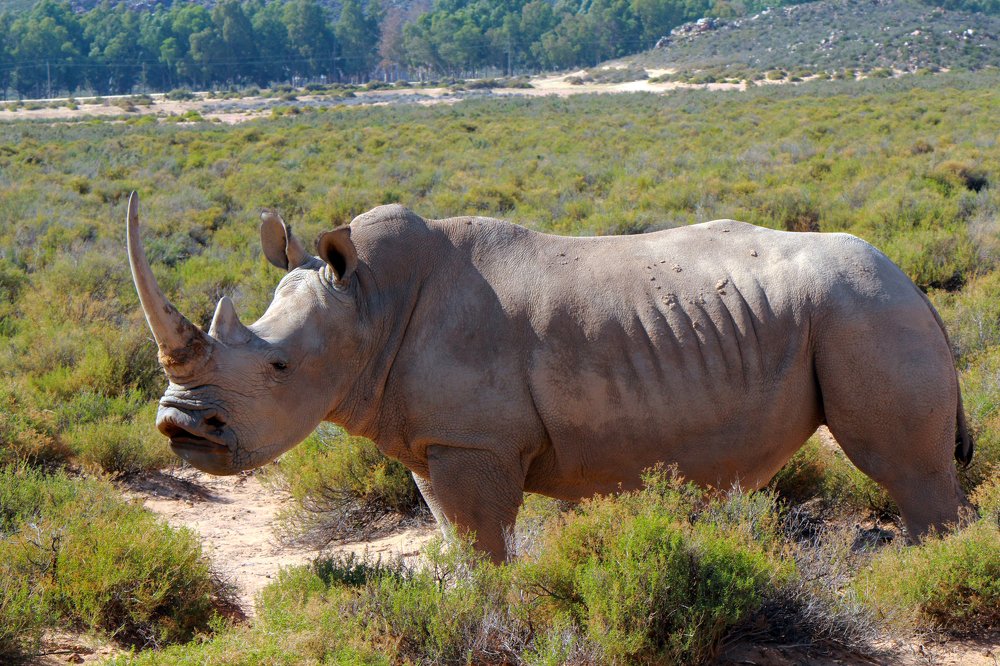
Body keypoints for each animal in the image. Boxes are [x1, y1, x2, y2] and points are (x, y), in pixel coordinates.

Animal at [127, 192, 972, 561]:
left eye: (277, 367)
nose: (179, 425)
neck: (367, 303)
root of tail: (915, 285)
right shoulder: (439, 439)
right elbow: (462, 544)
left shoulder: (475, 443)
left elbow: (485, 542)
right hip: (862, 309)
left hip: (864, 312)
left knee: (908, 474)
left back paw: (927, 571)